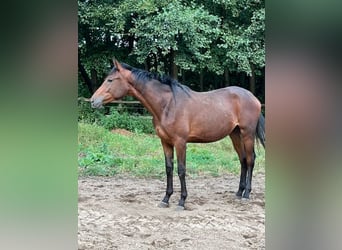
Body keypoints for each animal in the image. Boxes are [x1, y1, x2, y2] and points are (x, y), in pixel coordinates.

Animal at [90, 59, 264, 210]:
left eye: (110, 80)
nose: (93, 101)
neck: (167, 105)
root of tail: (253, 98)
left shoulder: (180, 142)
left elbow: (181, 170)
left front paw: (181, 201)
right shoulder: (165, 142)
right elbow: (169, 168)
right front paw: (166, 199)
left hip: (247, 133)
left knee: (250, 159)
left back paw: (246, 194)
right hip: (235, 134)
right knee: (242, 160)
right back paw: (239, 192)